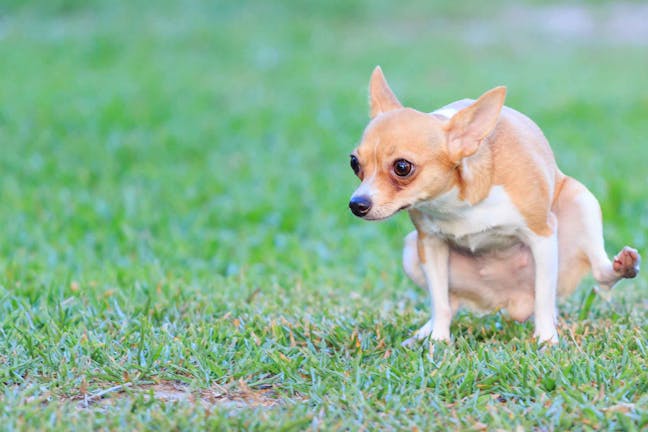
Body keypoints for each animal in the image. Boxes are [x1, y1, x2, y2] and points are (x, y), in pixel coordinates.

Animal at [350, 66, 636, 344]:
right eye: (354, 163)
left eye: (402, 167)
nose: (356, 204)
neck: (456, 203)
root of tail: (509, 301)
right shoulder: (430, 244)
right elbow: (440, 303)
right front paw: (438, 343)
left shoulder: (542, 235)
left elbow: (544, 298)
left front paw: (546, 340)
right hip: (412, 250)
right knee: (450, 302)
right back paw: (424, 333)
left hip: (583, 202)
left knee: (598, 275)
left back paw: (622, 266)